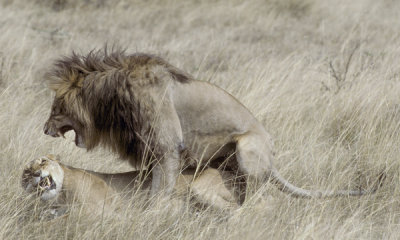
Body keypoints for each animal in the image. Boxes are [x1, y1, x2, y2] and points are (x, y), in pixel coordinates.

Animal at [23, 156, 245, 218]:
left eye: (42, 161)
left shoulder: (95, 212)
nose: (35, 174)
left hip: (200, 187)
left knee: (238, 210)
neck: (59, 197)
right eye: (25, 173)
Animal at [43, 49, 384, 199]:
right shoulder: (149, 150)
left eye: (56, 107)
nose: (44, 129)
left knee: (258, 195)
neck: (111, 99)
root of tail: (273, 162)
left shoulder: (167, 146)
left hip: (247, 148)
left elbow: (159, 192)